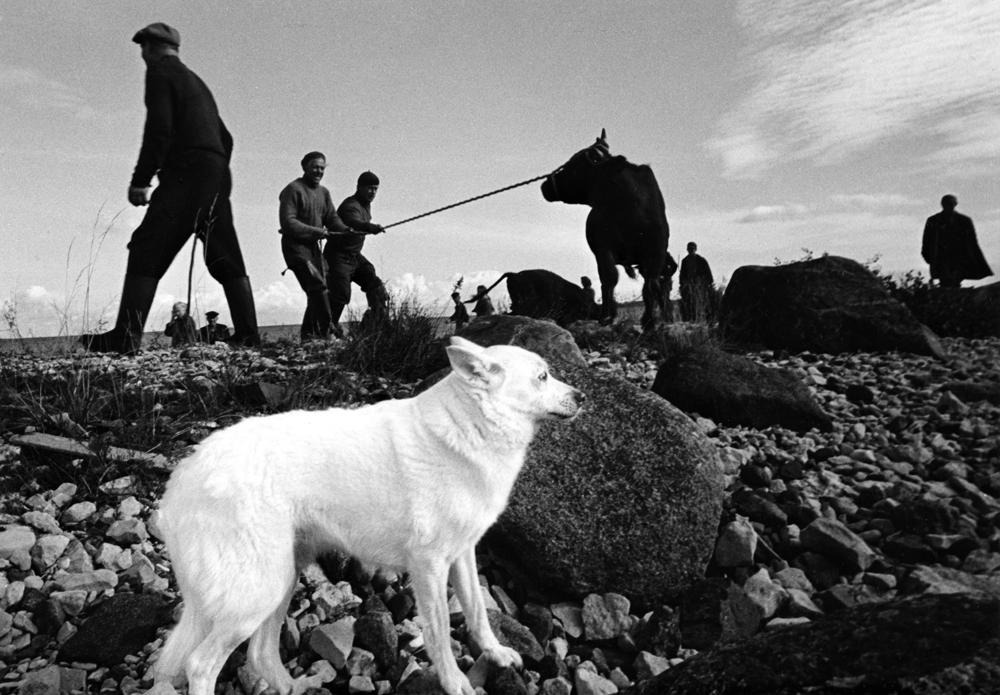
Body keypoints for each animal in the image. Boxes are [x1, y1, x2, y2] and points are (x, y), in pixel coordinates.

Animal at [151, 338, 584, 695]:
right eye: (543, 376)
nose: (582, 397)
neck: (471, 425)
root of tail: (180, 478)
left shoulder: (462, 555)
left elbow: (478, 614)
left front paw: (496, 654)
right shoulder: (429, 566)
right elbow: (441, 633)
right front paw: (454, 682)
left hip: (282, 577)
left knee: (259, 652)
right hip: (257, 591)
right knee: (201, 665)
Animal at [540, 130, 672, 332]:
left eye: (576, 165)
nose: (545, 185)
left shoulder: (657, 251)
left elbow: (651, 284)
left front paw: (650, 320)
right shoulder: (603, 249)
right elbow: (609, 279)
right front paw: (607, 317)